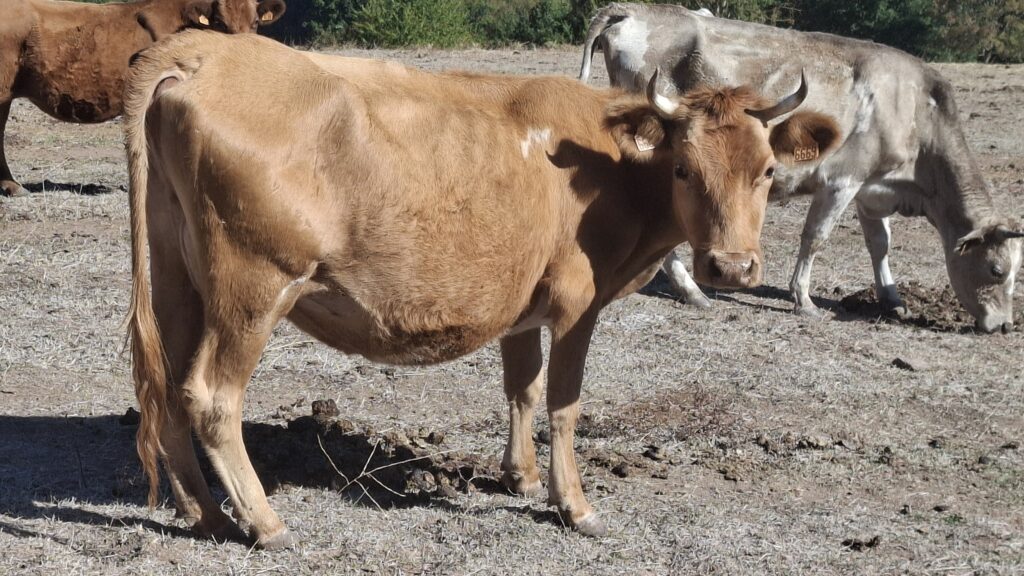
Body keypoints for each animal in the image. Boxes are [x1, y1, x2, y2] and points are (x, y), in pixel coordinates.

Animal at [123, 30, 839, 548]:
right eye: (685, 170)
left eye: (767, 171)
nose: (731, 268)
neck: (604, 163)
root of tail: (201, 51)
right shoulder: (578, 302)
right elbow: (564, 404)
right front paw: (574, 505)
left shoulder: (524, 301)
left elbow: (522, 388)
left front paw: (520, 477)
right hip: (254, 287)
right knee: (211, 395)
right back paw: (264, 523)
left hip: (180, 278)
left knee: (169, 387)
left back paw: (206, 514)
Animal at [580, 3, 1024, 333]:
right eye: (996, 268)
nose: (1004, 326)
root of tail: (633, 10)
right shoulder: (841, 180)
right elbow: (815, 238)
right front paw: (804, 299)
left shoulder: (872, 189)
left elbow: (880, 243)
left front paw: (892, 298)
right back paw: (693, 292)